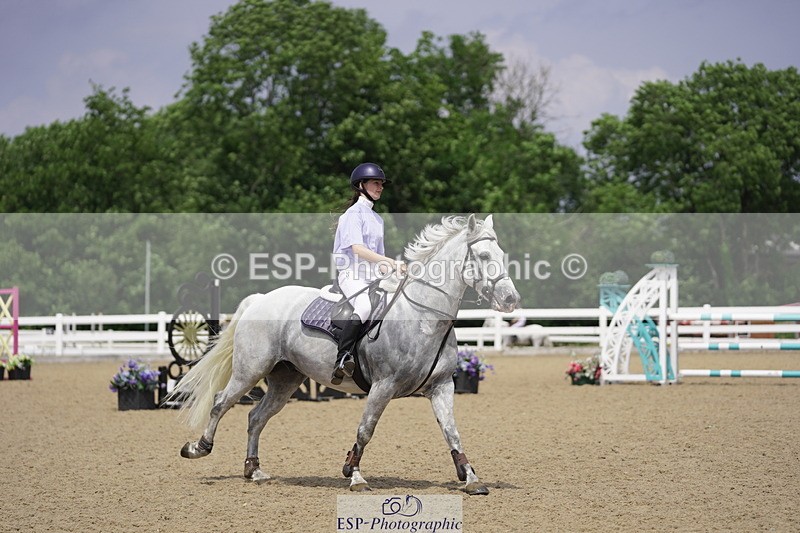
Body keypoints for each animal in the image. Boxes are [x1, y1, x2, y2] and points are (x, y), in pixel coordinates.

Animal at [169, 214, 520, 495]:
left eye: (502, 255)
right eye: (484, 255)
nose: (511, 299)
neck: (423, 317)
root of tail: (260, 299)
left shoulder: (442, 386)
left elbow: (451, 432)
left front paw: (471, 478)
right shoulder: (383, 386)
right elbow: (365, 430)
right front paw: (355, 476)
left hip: (285, 379)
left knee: (256, 417)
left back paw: (253, 470)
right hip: (250, 370)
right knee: (220, 403)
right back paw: (198, 447)